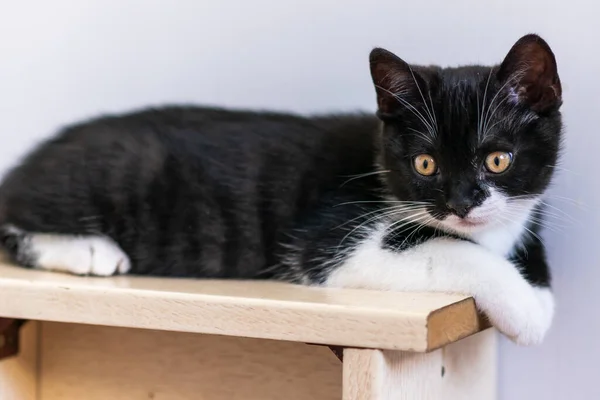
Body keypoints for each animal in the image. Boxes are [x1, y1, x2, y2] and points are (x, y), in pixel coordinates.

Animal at [0, 33, 564, 344]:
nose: (461, 203)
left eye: (497, 159)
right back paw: (89, 250)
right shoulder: (333, 245)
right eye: (425, 164)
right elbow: (452, 251)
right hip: (120, 168)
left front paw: (537, 288)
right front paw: (526, 310)